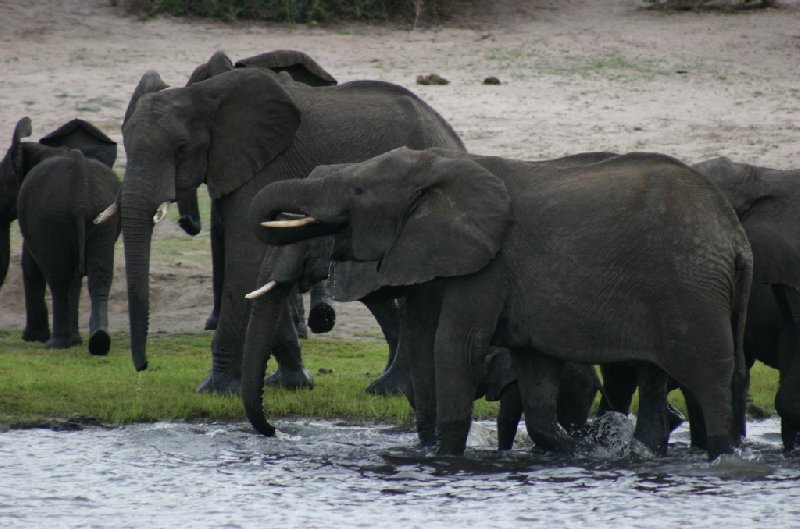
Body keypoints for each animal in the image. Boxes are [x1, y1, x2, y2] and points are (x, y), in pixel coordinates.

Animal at [0, 117, 120, 352]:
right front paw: (76, 340)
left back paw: (56, 344)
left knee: (58, 277)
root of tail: (80, 189)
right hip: (100, 212)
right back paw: (98, 341)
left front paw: (34, 337)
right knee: (98, 274)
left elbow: (31, 263)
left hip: (52, 215)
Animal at [121, 66, 466, 394]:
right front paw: (291, 382)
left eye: (181, 148)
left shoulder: (261, 168)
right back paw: (389, 386)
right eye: (124, 142)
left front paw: (214, 389)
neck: (202, 96)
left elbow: (247, 258)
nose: (142, 369)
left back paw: (391, 388)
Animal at [253, 145, 752, 458]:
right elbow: (439, 347)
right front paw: (575, 450)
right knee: (667, 377)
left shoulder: (487, 262)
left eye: (358, 191)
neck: (439, 166)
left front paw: (446, 456)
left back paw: (720, 457)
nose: (273, 431)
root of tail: (735, 238)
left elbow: (454, 346)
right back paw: (647, 453)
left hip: (690, 290)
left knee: (708, 379)